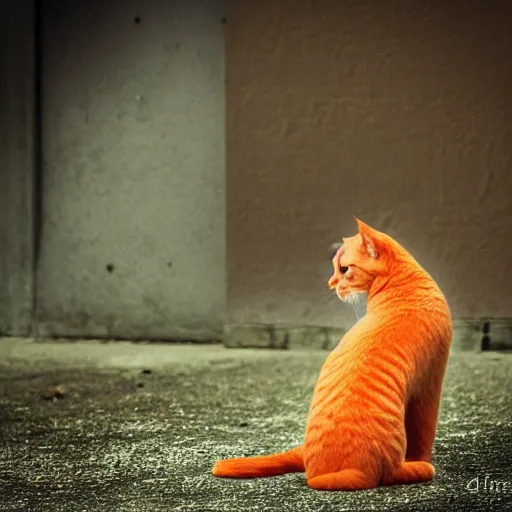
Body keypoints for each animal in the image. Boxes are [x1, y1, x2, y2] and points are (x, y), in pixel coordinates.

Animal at [212, 218, 452, 490]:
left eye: (344, 269)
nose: (331, 283)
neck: (404, 286)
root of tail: (356, 470)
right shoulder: (430, 383)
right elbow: (423, 434)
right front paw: (422, 457)